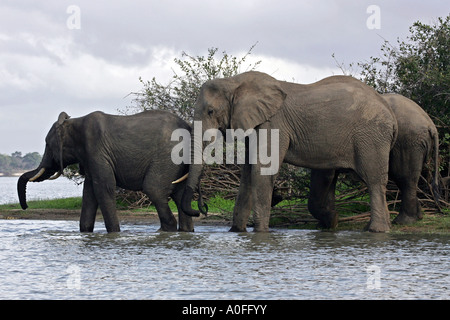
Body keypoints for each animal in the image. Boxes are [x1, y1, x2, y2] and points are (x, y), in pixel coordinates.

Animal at [16, 110, 202, 232]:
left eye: (48, 144)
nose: (25, 207)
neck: (74, 123)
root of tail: (188, 126)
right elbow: (89, 192)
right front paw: (85, 232)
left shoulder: (96, 150)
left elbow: (103, 188)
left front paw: (114, 234)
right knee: (179, 194)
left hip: (170, 156)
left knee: (153, 189)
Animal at [179, 71, 398, 232]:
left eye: (211, 111)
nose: (201, 209)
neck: (234, 81)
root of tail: (390, 111)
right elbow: (247, 173)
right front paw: (237, 232)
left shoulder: (273, 123)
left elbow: (262, 169)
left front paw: (261, 233)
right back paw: (336, 224)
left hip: (371, 137)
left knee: (374, 181)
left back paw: (376, 230)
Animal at [308, 92, 438, 228]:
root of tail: (431, 125)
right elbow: (330, 178)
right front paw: (328, 223)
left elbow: (325, 175)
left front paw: (329, 222)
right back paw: (418, 216)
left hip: (408, 142)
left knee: (403, 177)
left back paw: (402, 221)